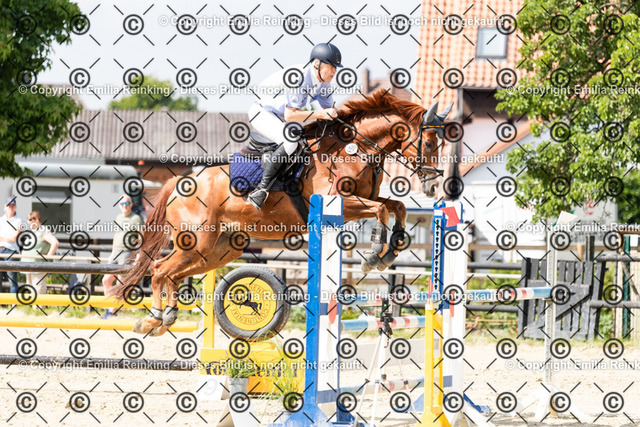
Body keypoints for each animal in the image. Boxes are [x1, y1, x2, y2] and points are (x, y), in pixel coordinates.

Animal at [109, 88, 453, 336]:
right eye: (429, 141)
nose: (434, 185)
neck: (356, 149)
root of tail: (180, 182)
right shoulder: (340, 202)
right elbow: (381, 210)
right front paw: (374, 255)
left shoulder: (364, 200)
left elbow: (397, 206)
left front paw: (392, 249)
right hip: (197, 241)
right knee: (159, 270)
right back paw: (154, 319)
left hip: (218, 251)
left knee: (172, 273)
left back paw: (164, 318)